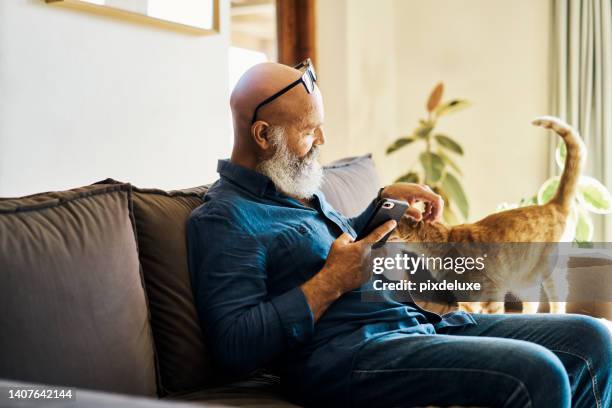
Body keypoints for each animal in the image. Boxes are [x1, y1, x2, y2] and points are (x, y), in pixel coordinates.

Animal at [394, 116, 584, 314]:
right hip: (523, 280)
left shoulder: (491, 292)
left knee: (558, 299)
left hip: (549, 271)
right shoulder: (469, 299)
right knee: (533, 302)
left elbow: (493, 313)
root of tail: (552, 204)